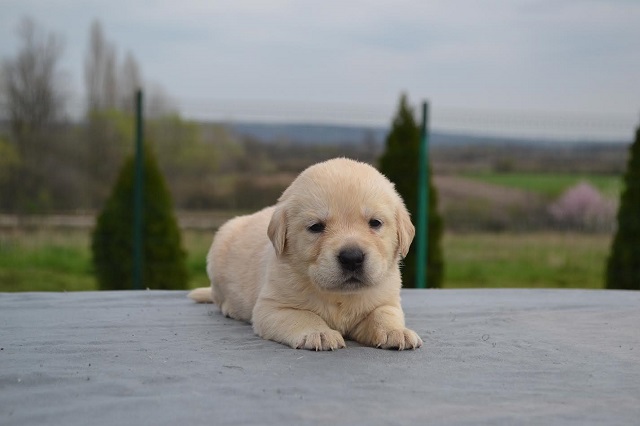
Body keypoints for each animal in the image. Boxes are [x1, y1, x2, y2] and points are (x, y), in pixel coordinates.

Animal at [189, 158, 420, 352]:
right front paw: (319, 333)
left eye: (375, 223)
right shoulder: (272, 307)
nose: (352, 258)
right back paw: (229, 307)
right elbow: (302, 315)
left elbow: (383, 314)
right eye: (316, 227)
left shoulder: (386, 300)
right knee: (218, 296)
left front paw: (396, 331)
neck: (340, 296)